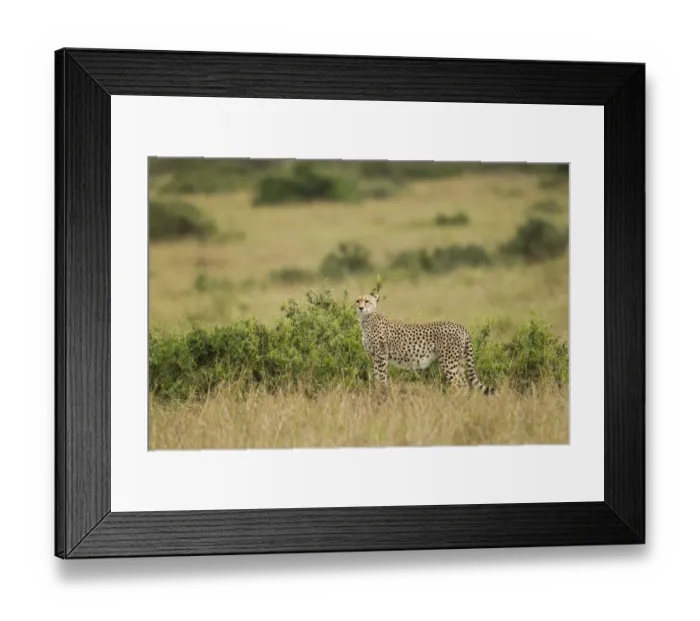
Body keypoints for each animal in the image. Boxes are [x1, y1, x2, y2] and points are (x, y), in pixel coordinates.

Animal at [355, 293, 496, 395]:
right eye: (357, 300)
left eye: (367, 301)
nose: (360, 308)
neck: (366, 319)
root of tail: (460, 326)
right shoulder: (375, 356)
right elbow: (377, 376)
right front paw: (377, 392)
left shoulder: (381, 355)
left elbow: (382, 376)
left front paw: (383, 393)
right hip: (459, 361)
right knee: (465, 385)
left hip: (448, 361)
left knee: (457, 384)